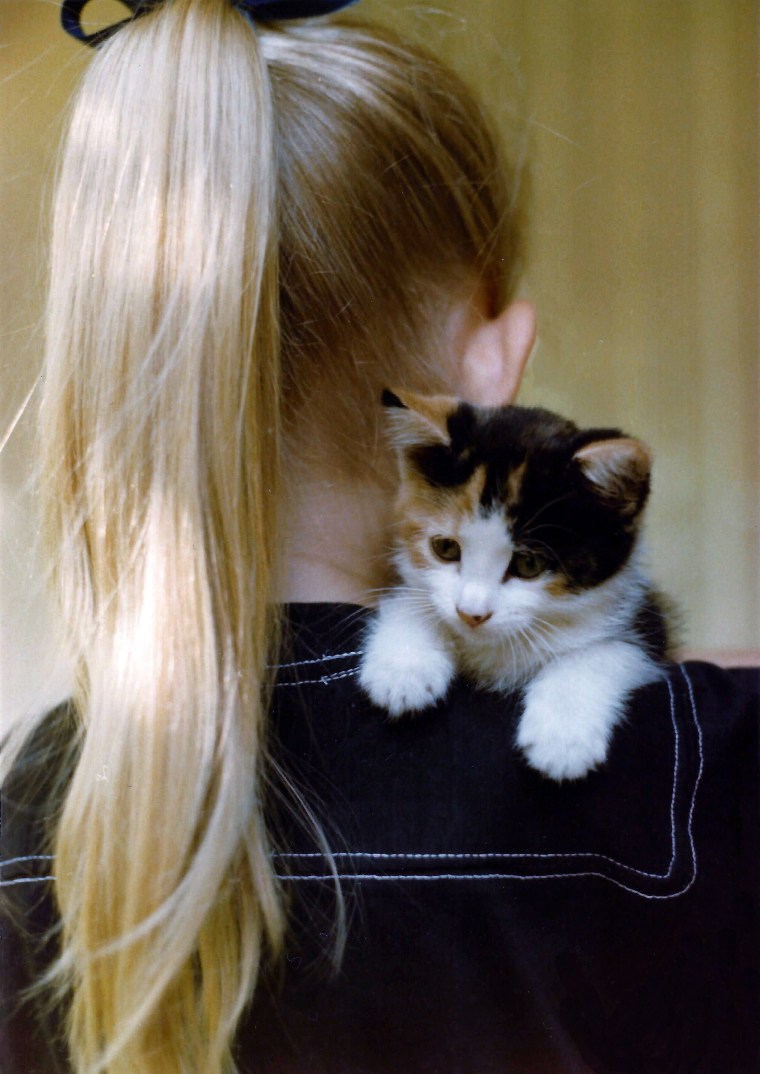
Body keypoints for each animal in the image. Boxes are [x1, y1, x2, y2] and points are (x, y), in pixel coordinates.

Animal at [358, 390, 669, 777]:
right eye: (446, 548)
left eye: (529, 564)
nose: (471, 613)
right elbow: (413, 599)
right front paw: (404, 666)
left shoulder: (648, 621)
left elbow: (605, 651)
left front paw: (562, 735)